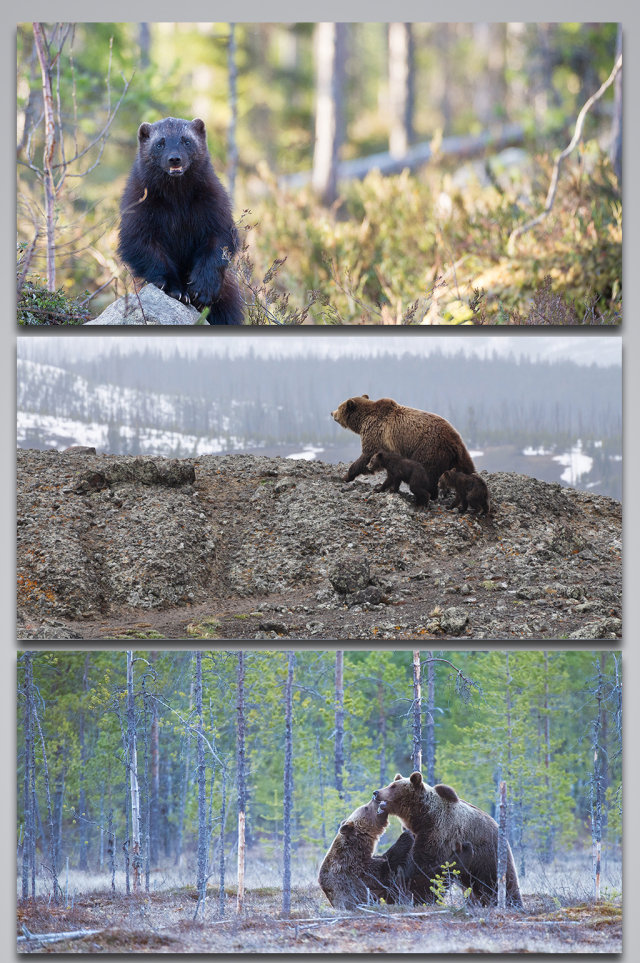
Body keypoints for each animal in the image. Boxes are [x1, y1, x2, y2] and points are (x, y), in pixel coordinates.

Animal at [117, 117, 242, 326]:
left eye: (186, 140)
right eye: (160, 143)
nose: (174, 158)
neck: (177, 200)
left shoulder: (215, 205)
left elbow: (219, 242)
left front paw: (203, 289)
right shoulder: (138, 209)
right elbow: (144, 248)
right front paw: (175, 289)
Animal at [330, 394, 476, 498]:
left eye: (339, 406)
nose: (332, 413)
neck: (363, 421)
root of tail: (454, 441)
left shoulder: (376, 434)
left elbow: (367, 456)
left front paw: (346, 476)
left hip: (428, 449)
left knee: (428, 473)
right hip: (459, 455)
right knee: (467, 468)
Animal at [372, 772, 524, 908]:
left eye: (393, 786)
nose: (376, 792)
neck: (423, 817)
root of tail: (499, 829)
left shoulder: (439, 833)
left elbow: (424, 868)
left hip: (488, 857)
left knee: (500, 882)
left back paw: (512, 903)